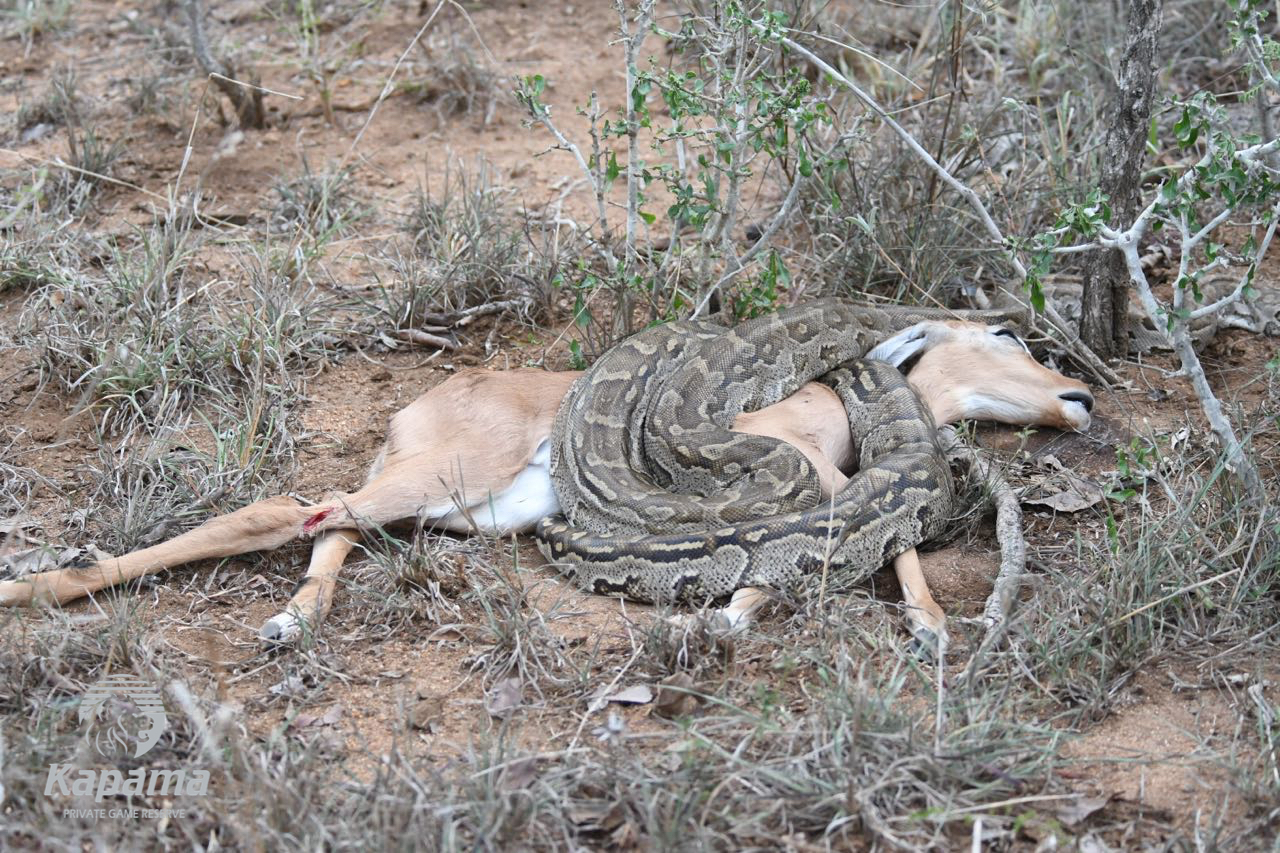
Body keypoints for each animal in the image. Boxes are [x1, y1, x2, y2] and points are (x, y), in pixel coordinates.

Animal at [0, 319, 1093, 651]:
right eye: (1002, 335)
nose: (1077, 392)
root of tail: (425, 398)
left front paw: (738, 607)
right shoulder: (803, 464)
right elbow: (881, 538)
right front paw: (932, 620)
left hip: (453, 508)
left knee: (330, 524)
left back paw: (296, 614)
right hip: (441, 472)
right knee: (289, 506)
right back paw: (40, 585)